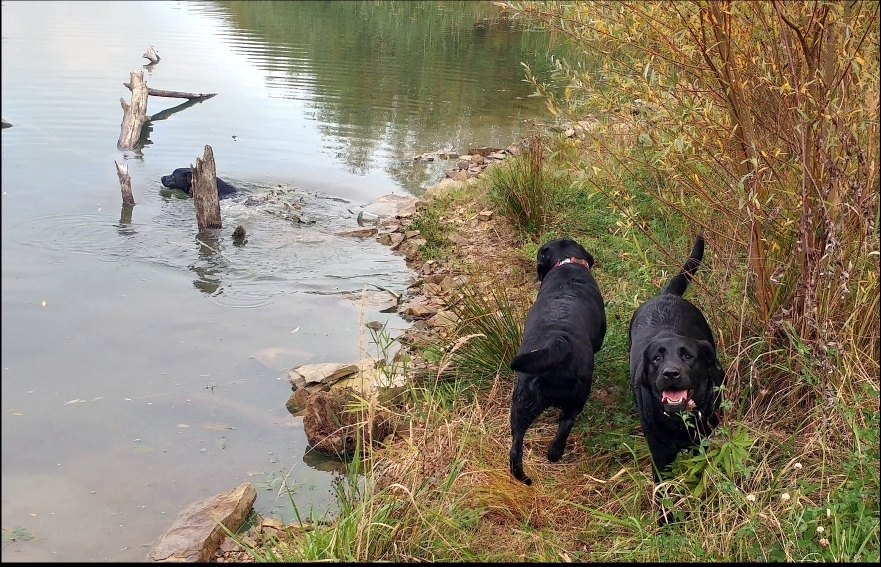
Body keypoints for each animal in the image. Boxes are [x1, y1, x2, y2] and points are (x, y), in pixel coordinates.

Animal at [508, 237, 604, 486]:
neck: (566, 263)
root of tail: (557, 342)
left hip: (521, 403)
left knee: (515, 448)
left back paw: (523, 478)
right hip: (577, 397)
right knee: (566, 422)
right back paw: (554, 453)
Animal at [628, 236, 724, 524]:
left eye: (688, 356)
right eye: (656, 359)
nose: (670, 373)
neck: (680, 423)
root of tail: (666, 295)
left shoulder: (701, 445)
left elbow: (698, 475)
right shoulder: (660, 456)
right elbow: (663, 490)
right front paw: (666, 524)